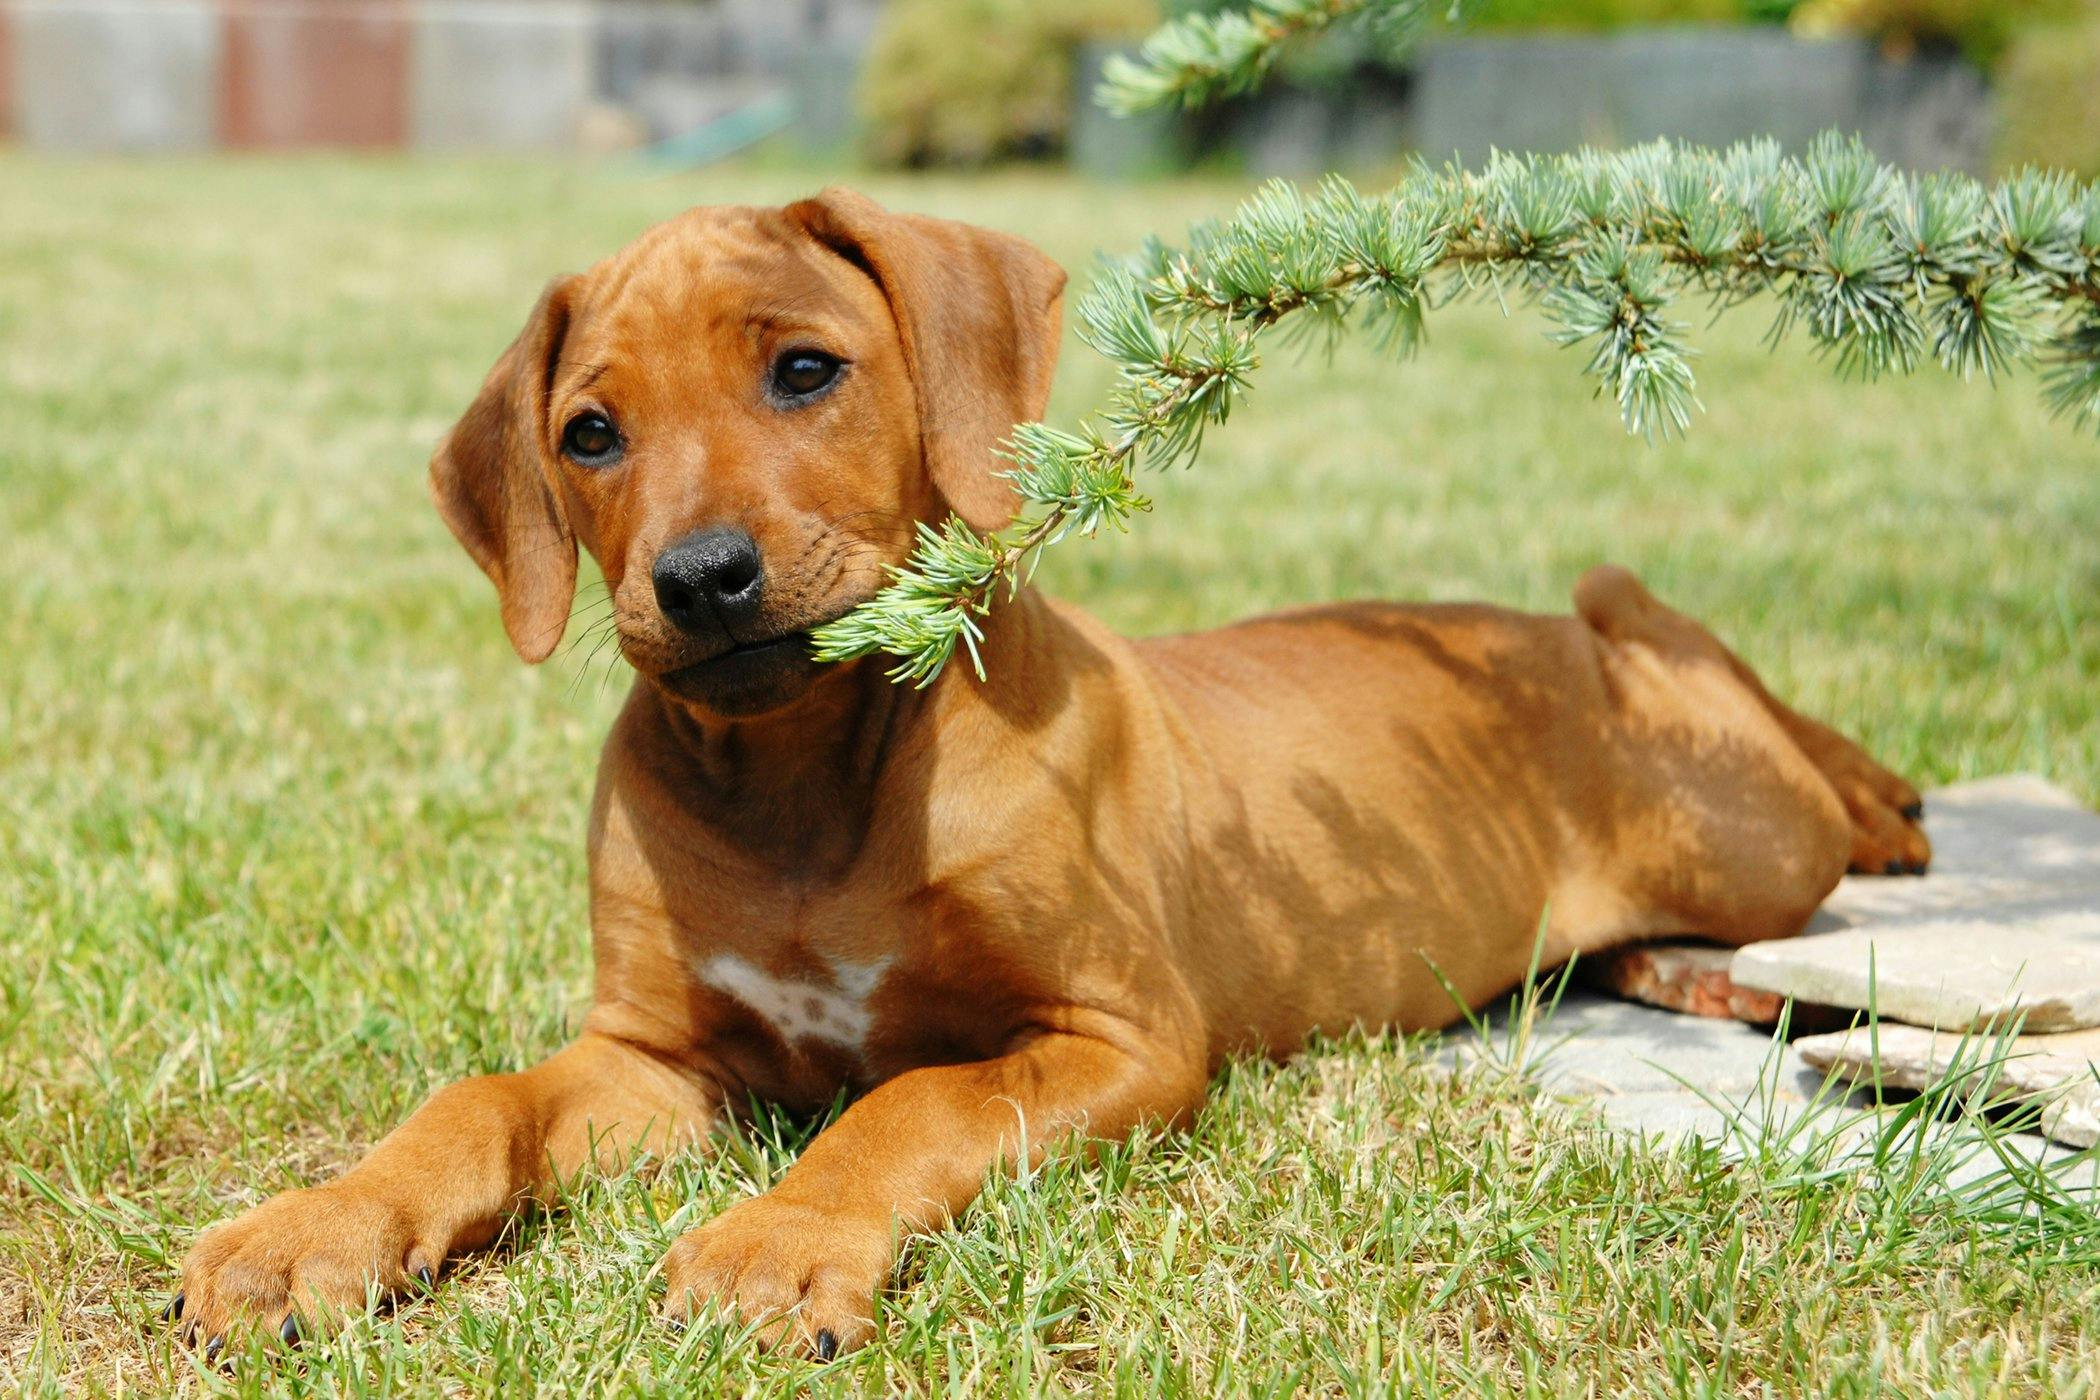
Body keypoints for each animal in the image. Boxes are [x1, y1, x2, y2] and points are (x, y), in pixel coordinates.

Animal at [172, 185, 1923, 1360]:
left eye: (804, 372)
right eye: (589, 433)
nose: (703, 580)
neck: (807, 787)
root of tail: (1540, 642)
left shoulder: (1117, 1039)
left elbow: (910, 1101)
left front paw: (778, 1244)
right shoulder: (659, 1061)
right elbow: (477, 1102)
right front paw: (312, 1230)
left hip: (1733, 826)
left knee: (1730, 697)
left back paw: (1880, 805)